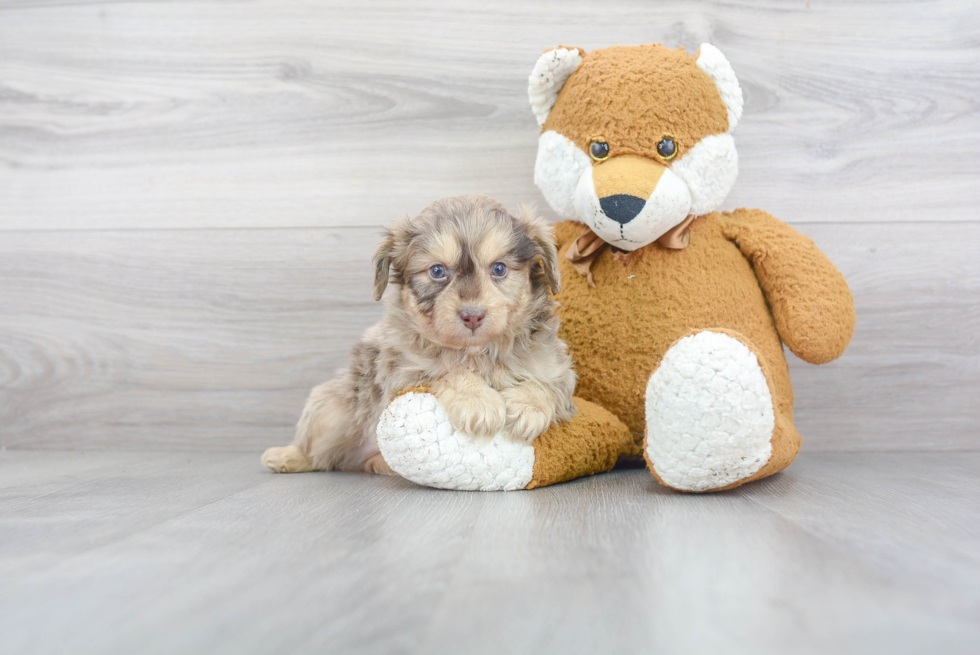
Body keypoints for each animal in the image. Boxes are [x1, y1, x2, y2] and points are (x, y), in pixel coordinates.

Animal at [264, 195, 580, 476]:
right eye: (437, 271)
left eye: (499, 268)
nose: (473, 315)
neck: (477, 352)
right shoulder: (402, 371)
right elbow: (449, 370)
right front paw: (477, 401)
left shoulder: (558, 369)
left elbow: (547, 385)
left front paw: (527, 408)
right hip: (334, 409)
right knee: (321, 452)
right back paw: (287, 456)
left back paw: (379, 464)